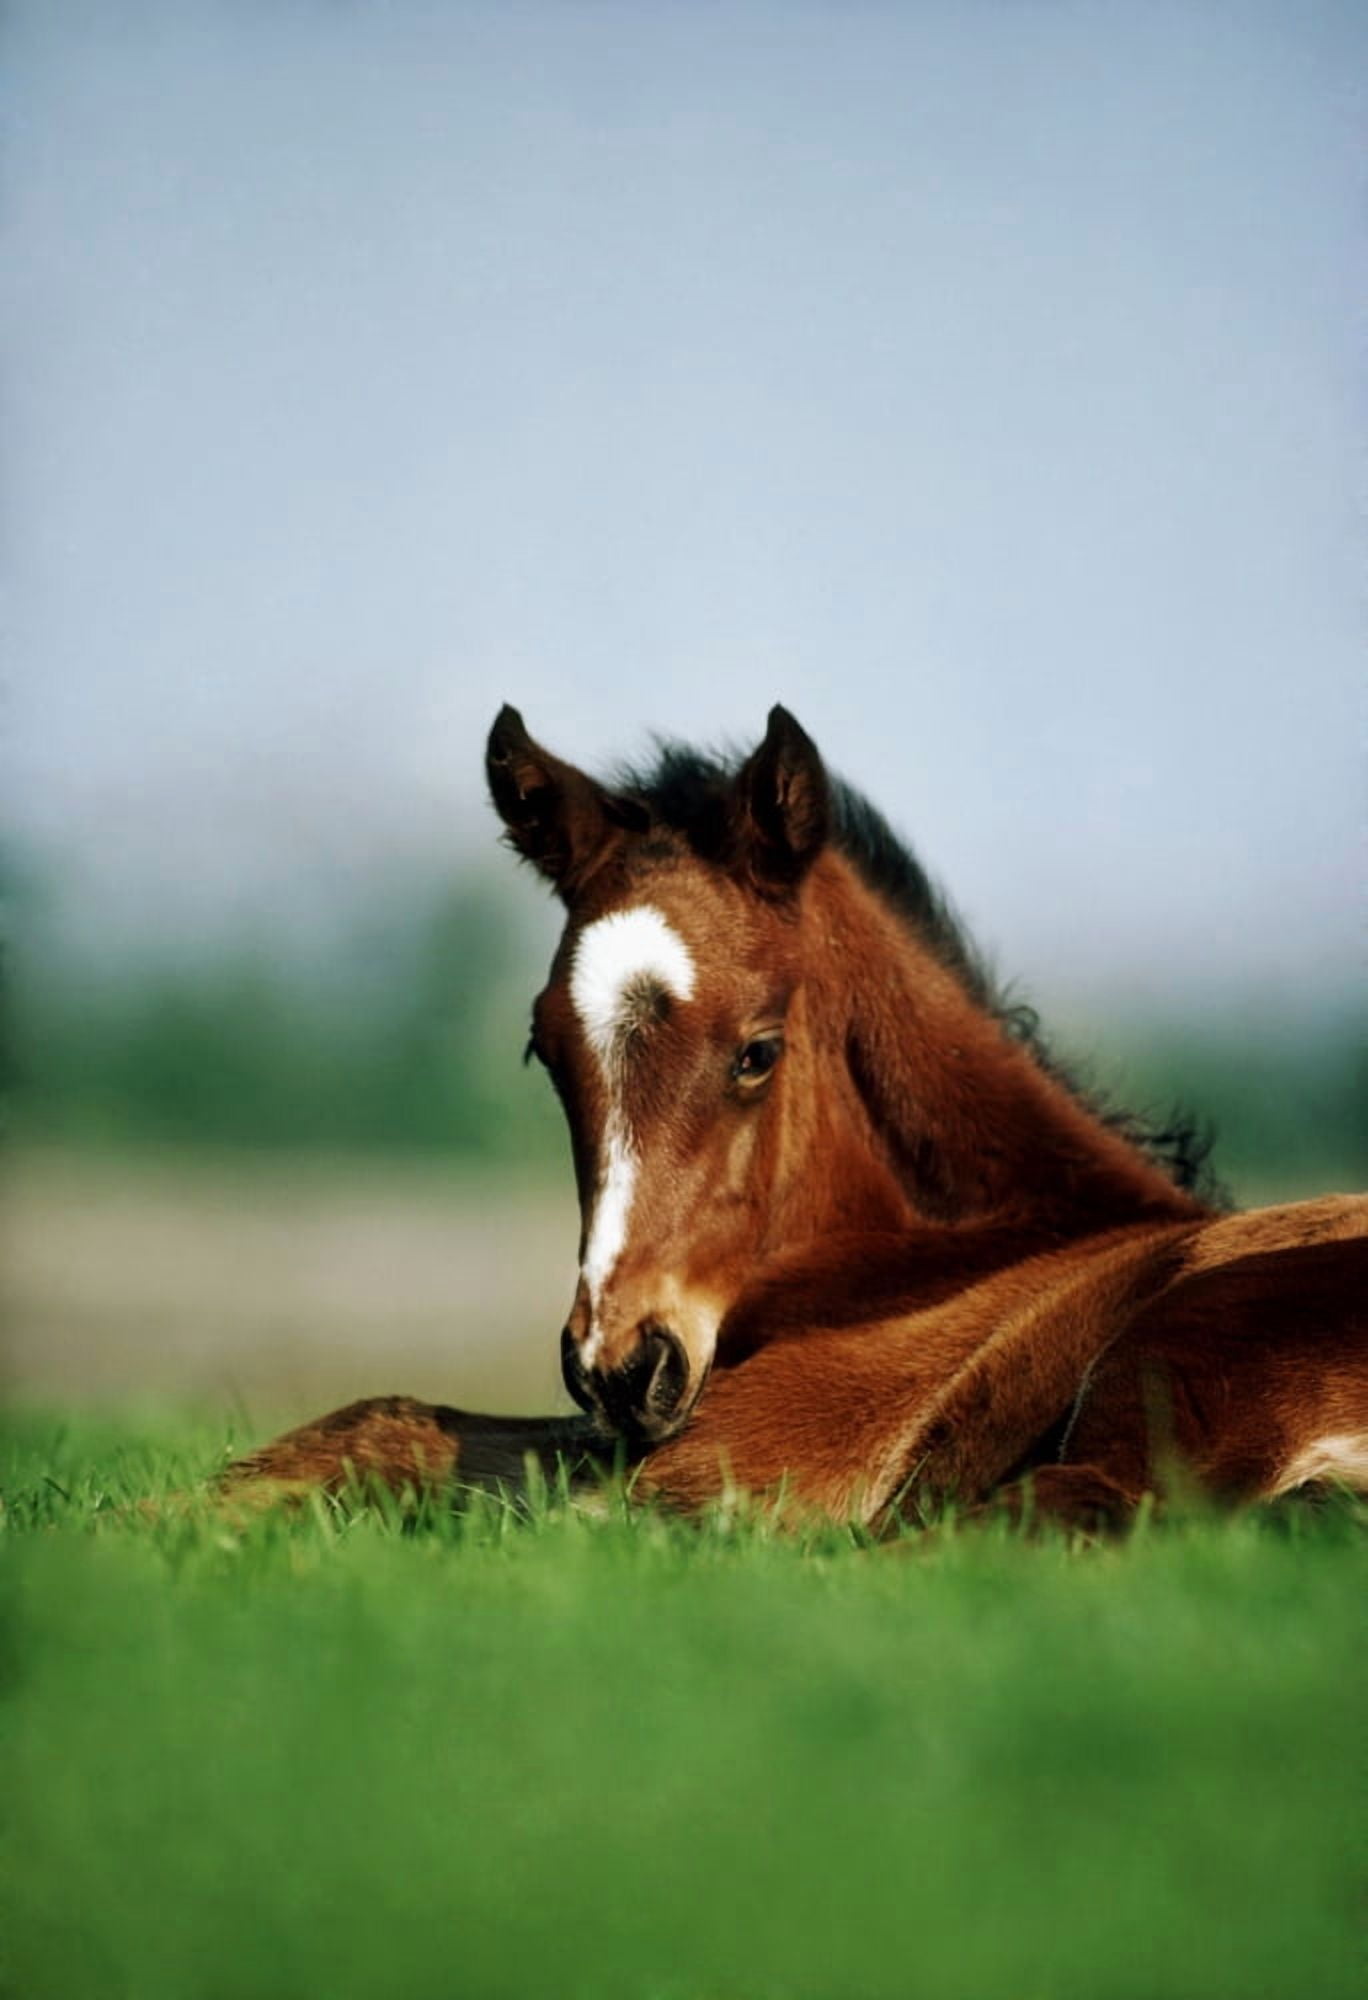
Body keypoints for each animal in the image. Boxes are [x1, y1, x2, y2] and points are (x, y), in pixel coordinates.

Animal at [221, 706, 1368, 1531]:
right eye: (545, 1050)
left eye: (758, 1051)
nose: (621, 1368)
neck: (943, 1260)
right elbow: (390, 1423)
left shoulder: (718, 1459)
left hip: (1191, 1338)